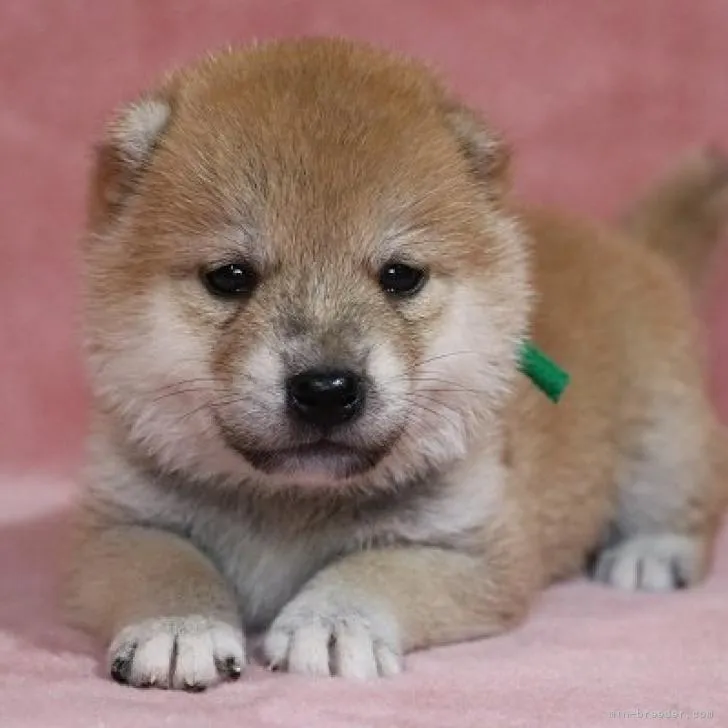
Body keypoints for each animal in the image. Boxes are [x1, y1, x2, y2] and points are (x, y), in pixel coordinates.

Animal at [64, 38, 728, 688]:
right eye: (229, 277)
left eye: (400, 276)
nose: (327, 388)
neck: (289, 502)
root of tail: (633, 246)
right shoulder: (116, 528)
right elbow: (166, 564)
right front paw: (181, 627)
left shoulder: (478, 552)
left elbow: (381, 566)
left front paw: (334, 623)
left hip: (665, 441)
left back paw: (650, 555)